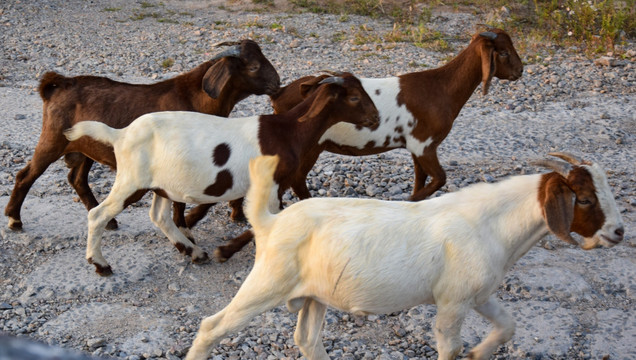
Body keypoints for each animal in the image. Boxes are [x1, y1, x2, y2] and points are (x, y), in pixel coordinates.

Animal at [3, 39, 280, 232]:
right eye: (254, 66)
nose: (277, 84)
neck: (195, 97)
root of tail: (56, 85)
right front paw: (183, 226)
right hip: (52, 140)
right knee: (26, 175)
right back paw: (14, 219)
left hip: (86, 147)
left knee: (77, 178)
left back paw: (108, 220)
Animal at [63, 73, 378, 276]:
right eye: (353, 97)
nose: (375, 119)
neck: (288, 132)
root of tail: (122, 134)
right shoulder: (272, 186)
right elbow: (261, 223)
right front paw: (225, 251)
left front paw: (220, 250)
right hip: (132, 180)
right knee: (99, 215)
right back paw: (101, 265)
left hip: (162, 184)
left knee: (159, 216)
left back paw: (193, 252)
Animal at [178, 28, 520, 260]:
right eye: (502, 52)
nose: (520, 70)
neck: (442, 88)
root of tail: (280, 93)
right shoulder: (425, 144)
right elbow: (438, 179)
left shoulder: (417, 146)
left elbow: (422, 180)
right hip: (310, 146)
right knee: (292, 181)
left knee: (295, 183)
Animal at [185, 152, 628, 360]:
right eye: (584, 199)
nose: (619, 232)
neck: (490, 223)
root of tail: (269, 222)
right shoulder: (452, 303)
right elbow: (449, 347)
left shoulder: (478, 294)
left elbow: (508, 326)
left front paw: (479, 352)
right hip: (267, 283)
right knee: (212, 326)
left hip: (313, 296)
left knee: (306, 339)